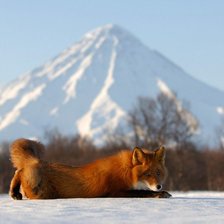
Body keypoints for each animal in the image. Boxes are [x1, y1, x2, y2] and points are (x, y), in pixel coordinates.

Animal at [8, 138, 170, 200]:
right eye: (147, 174)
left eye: (158, 173)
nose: (159, 186)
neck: (126, 171)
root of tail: (38, 162)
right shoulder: (115, 192)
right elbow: (143, 192)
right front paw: (160, 194)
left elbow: (142, 191)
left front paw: (161, 192)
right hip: (40, 191)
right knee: (19, 171)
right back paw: (14, 192)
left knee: (18, 170)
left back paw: (14, 193)